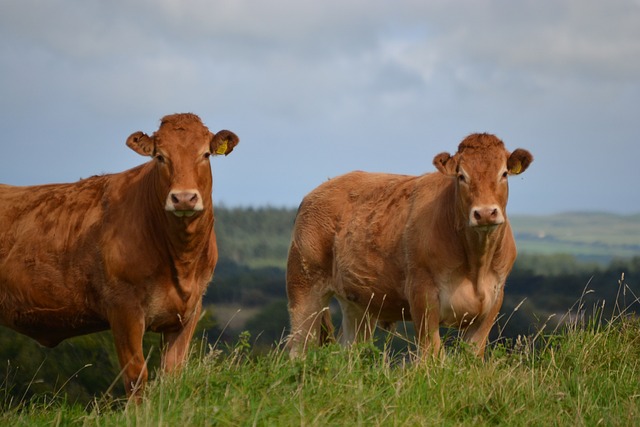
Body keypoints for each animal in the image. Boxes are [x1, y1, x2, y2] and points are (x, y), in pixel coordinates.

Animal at [0, 112, 238, 400]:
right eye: (160, 157)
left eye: (204, 154)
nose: (183, 198)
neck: (181, 262)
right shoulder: (124, 308)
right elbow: (136, 376)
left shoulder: (189, 311)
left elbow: (172, 374)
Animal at [288, 133, 532, 358]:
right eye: (462, 176)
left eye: (504, 174)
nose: (485, 213)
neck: (476, 266)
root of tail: (318, 191)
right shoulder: (422, 295)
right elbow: (432, 354)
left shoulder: (493, 301)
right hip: (304, 287)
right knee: (299, 346)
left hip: (358, 303)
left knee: (349, 349)